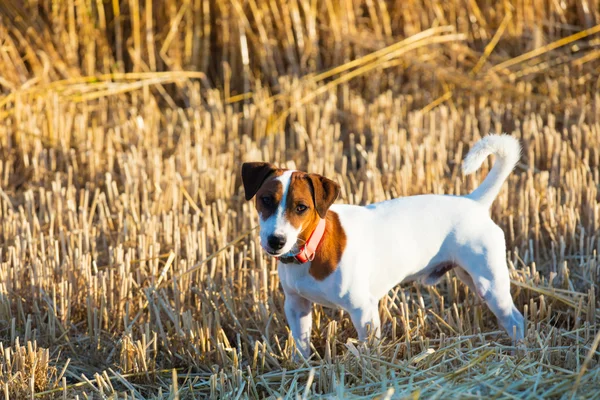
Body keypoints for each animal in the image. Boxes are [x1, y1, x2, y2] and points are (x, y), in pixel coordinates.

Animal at [243, 135, 524, 360]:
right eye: (265, 200)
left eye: (301, 207)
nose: (276, 240)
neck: (314, 247)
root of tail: (474, 202)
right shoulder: (296, 306)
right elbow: (301, 344)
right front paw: (302, 368)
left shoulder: (363, 310)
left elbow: (370, 348)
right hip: (469, 277)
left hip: (491, 285)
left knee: (516, 320)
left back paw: (521, 349)